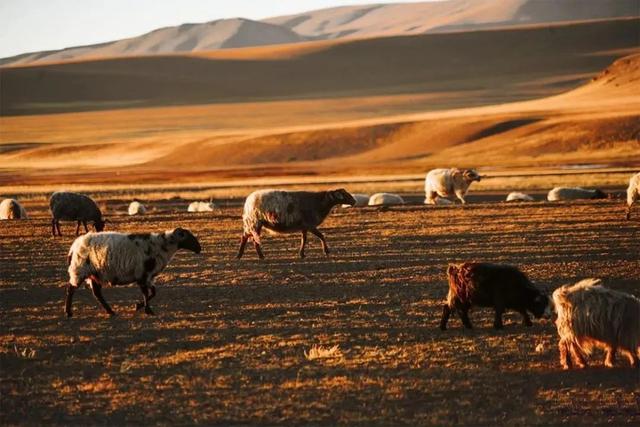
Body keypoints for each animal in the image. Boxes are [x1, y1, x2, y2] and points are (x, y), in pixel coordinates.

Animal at [64, 227, 200, 318]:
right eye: (188, 237)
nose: (199, 248)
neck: (162, 246)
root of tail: (74, 246)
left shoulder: (148, 276)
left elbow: (153, 292)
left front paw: (139, 306)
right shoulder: (143, 274)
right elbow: (146, 293)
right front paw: (147, 310)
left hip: (95, 273)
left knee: (97, 294)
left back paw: (110, 311)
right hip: (79, 269)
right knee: (71, 289)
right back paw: (68, 312)